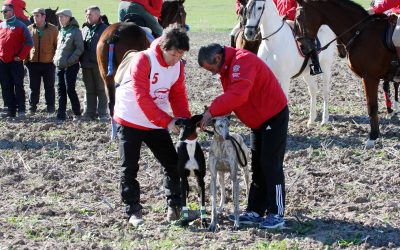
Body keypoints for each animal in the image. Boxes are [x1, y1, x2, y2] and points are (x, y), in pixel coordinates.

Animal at [292, 0, 398, 147]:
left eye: (298, 18)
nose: (302, 47)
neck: (361, 33)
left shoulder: (370, 78)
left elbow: (372, 107)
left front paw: (372, 137)